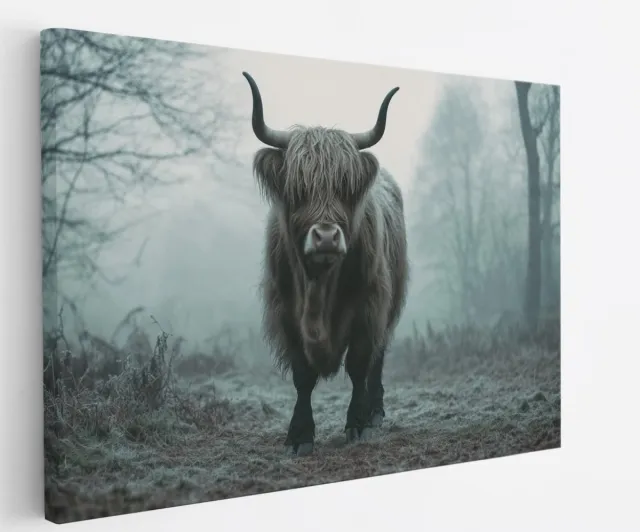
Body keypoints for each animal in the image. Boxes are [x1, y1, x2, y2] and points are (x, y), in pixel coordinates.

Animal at [243, 72, 409, 456]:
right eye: (298, 188)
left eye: (346, 187)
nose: (327, 238)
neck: (318, 285)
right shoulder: (285, 312)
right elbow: (303, 376)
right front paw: (299, 435)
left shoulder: (369, 305)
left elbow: (360, 364)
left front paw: (358, 423)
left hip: (390, 302)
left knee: (378, 356)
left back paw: (375, 412)